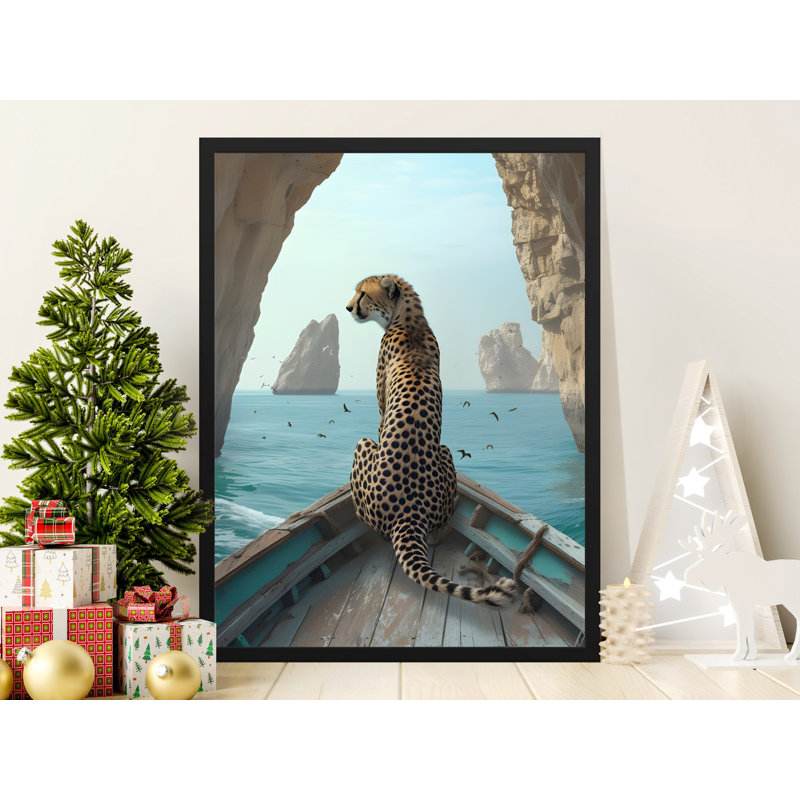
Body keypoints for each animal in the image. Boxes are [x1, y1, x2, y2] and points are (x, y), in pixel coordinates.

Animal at [345, 274, 517, 607]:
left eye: (363, 293)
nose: (348, 308)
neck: (408, 319)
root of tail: (410, 512)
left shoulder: (381, 407)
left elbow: (379, 421)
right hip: (446, 452)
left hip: (367, 448)